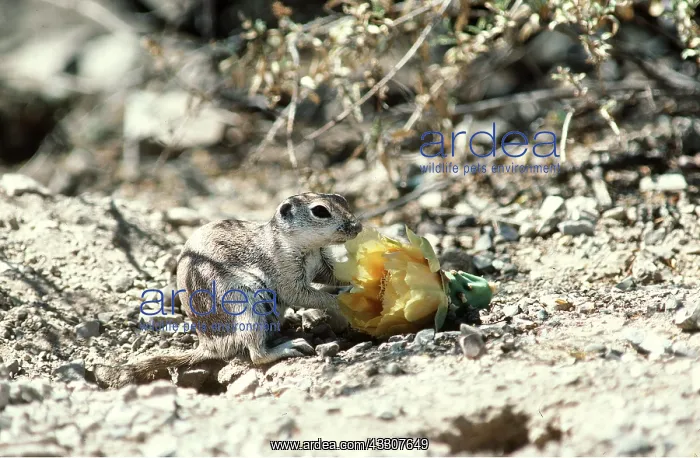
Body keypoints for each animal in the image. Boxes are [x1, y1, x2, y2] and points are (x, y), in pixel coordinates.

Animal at [94, 193, 362, 388]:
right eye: (320, 211)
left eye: (342, 199)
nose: (358, 226)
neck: (305, 246)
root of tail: (208, 345)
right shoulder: (286, 271)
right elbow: (306, 294)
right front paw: (342, 302)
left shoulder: (323, 264)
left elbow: (333, 276)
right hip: (247, 306)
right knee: (256, 355)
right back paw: (289, 347)